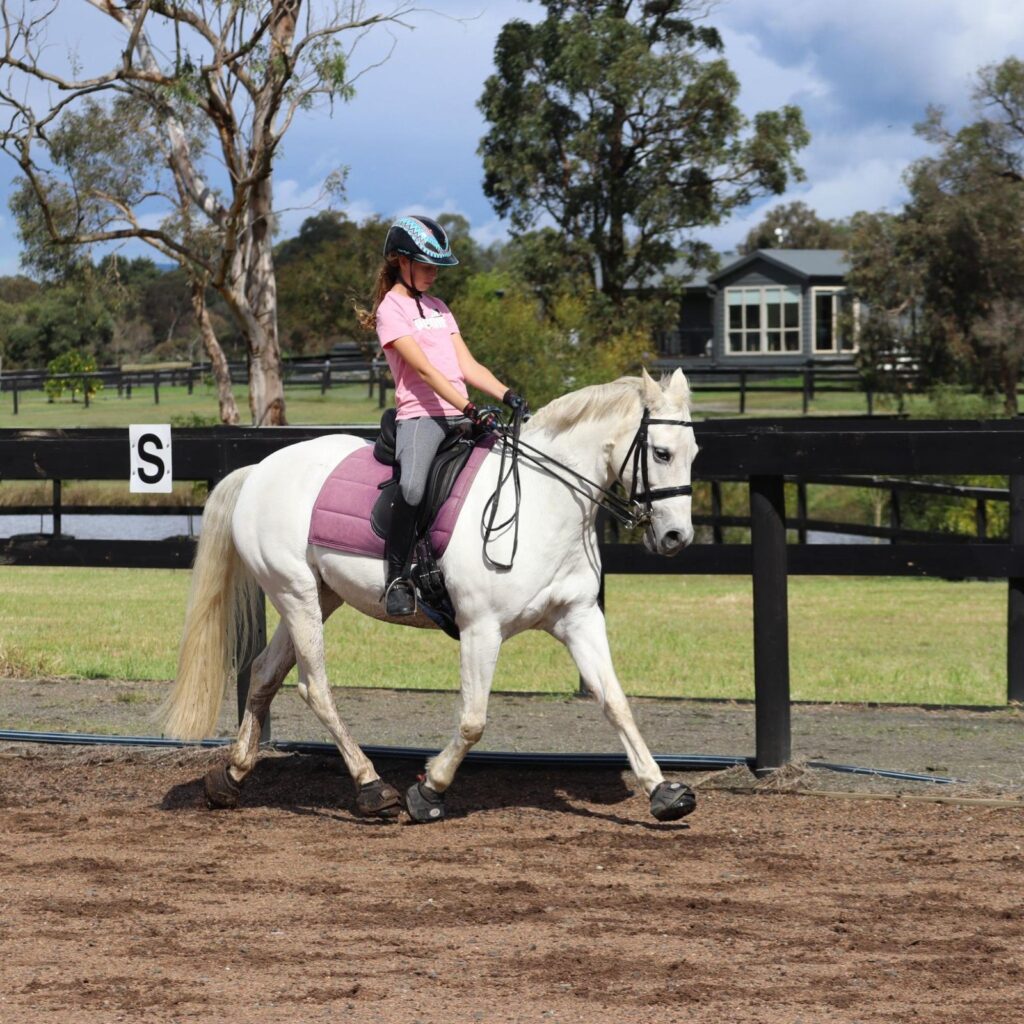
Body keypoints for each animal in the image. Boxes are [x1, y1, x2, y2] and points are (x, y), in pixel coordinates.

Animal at [158, 368, 700, 823]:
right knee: (316, 688)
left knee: (266, 673)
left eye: (693, 453)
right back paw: (373, 788)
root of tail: (259, 470)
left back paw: (231, 777)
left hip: (320, 596)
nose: (677, 538)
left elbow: (616, 703)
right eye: (661, 453)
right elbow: (473, 720)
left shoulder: (579, 618)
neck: (544, 502)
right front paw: (429, 790)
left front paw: (664, 792)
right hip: (296, 596)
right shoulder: (482, 629)